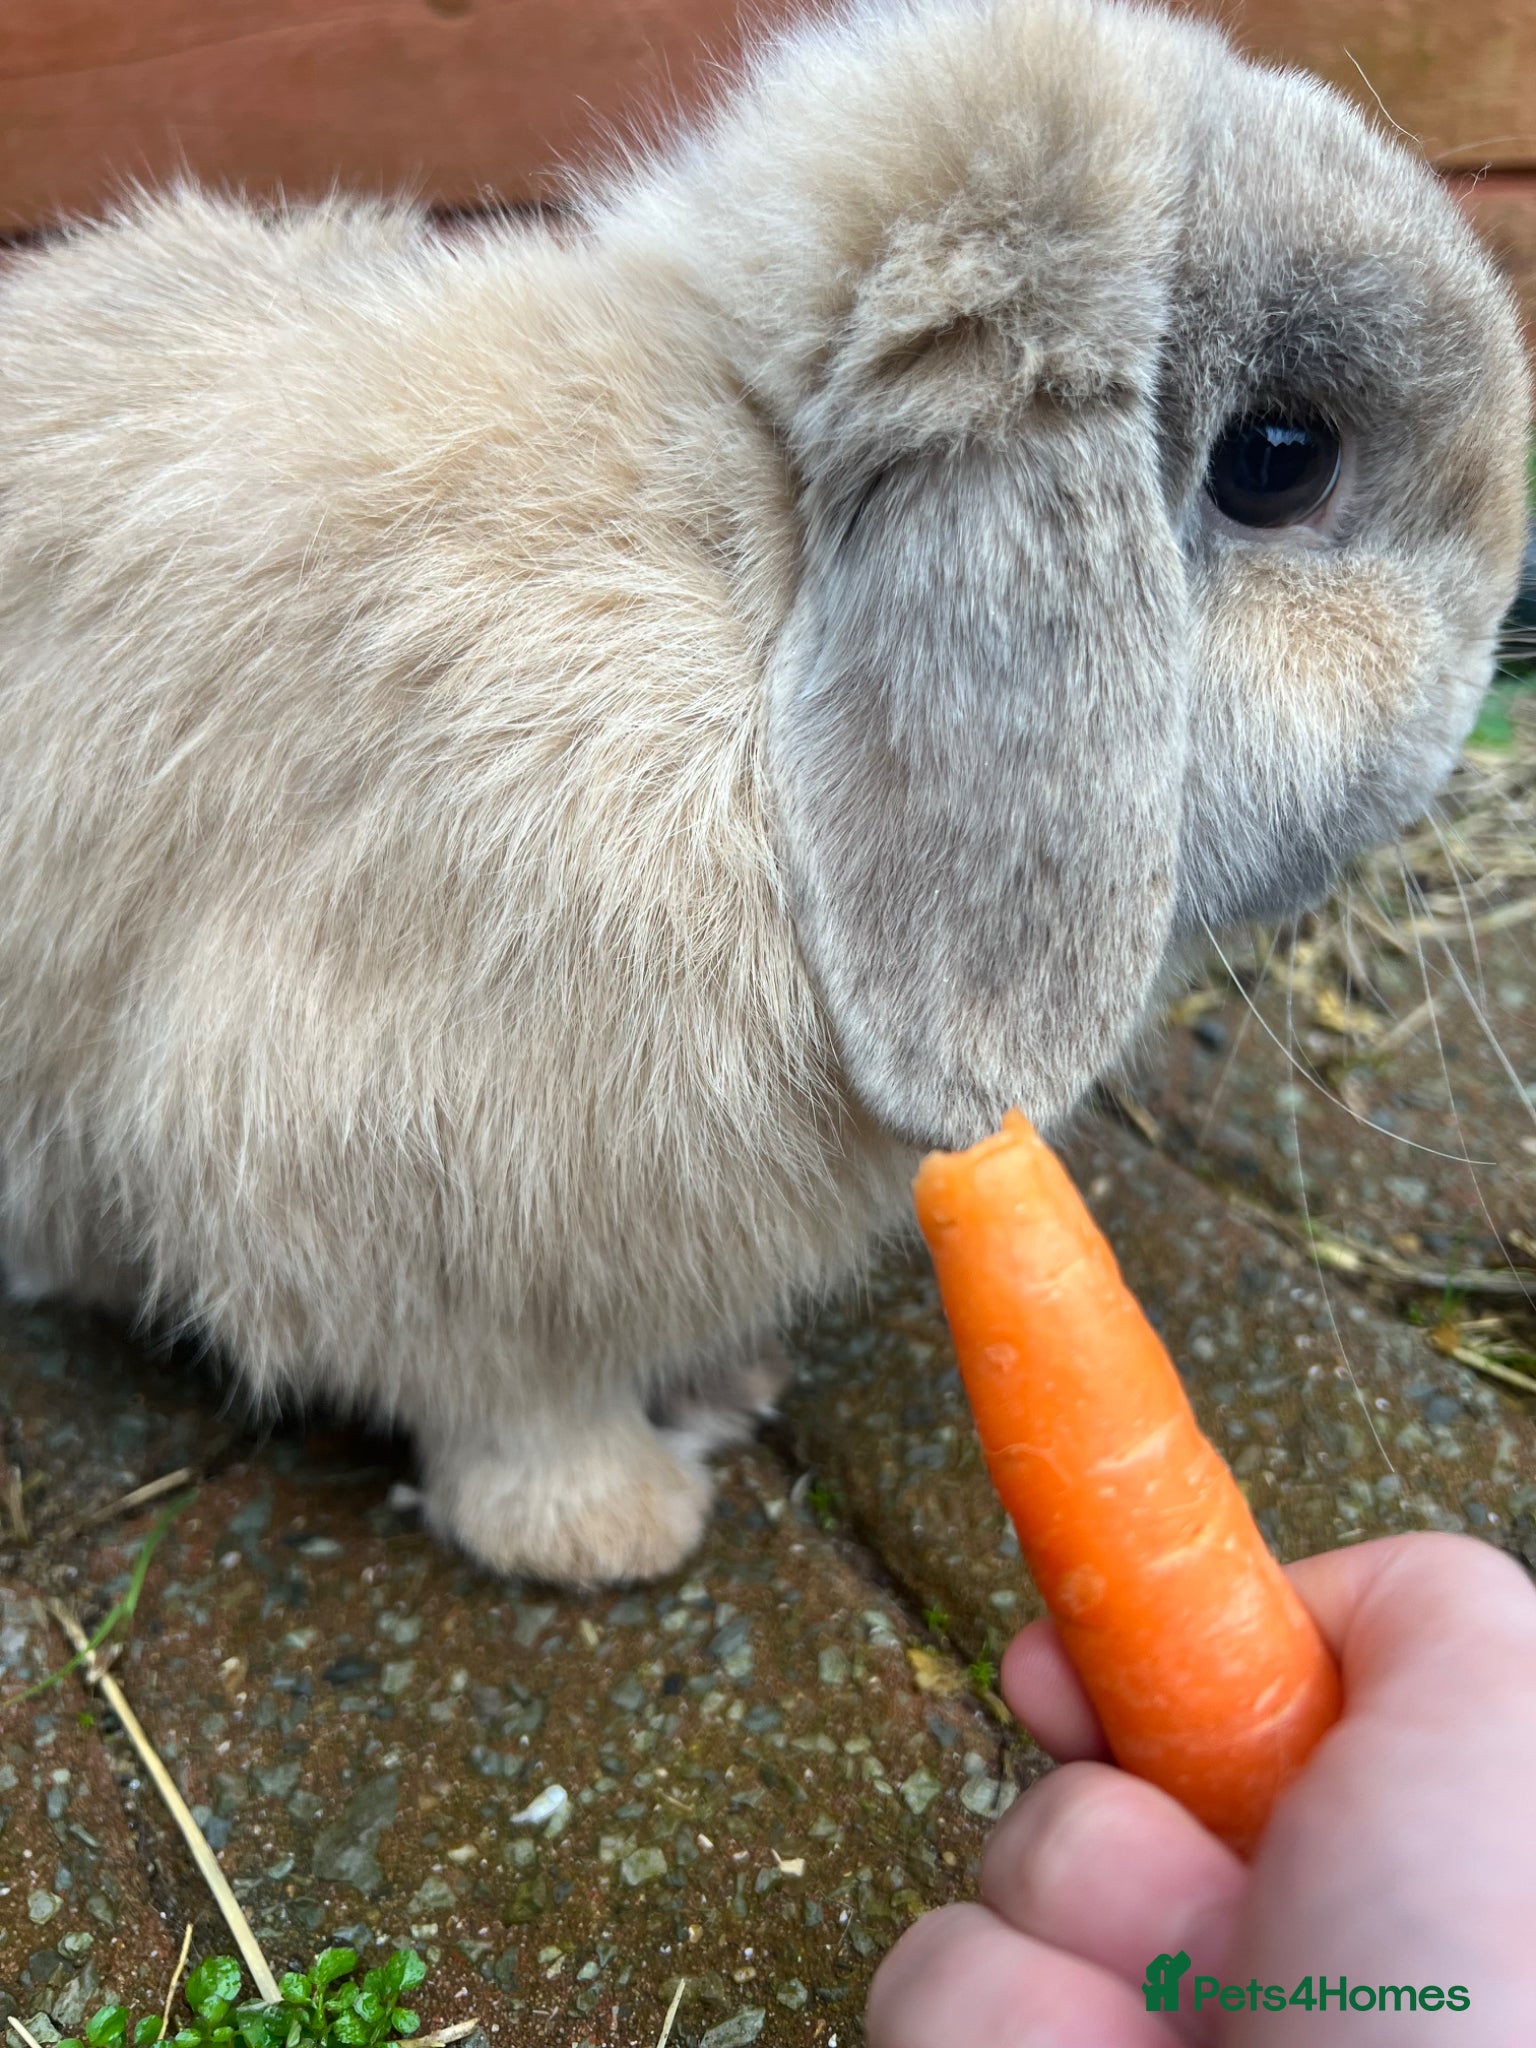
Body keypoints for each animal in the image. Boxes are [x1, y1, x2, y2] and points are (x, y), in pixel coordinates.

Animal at [0, 0, 1526, 1587]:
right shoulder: (360, 1157)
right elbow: (505, 1401)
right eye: (1279, 460)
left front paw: (723, 1391)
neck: (758, 592)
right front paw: (614, 1526)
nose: (1488, 660)